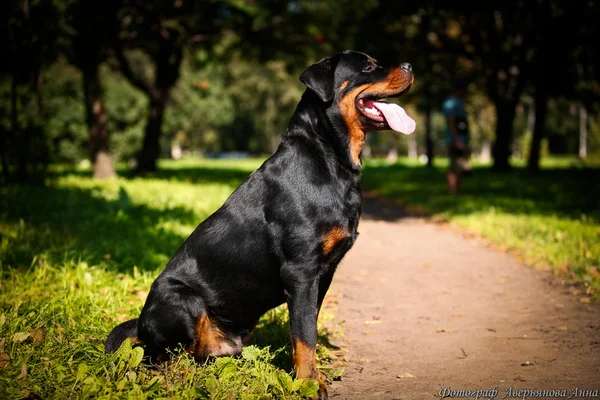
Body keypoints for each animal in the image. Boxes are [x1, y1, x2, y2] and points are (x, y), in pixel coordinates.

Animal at [106, 50, 412, 400]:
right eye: (368, 66)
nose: (409, 65)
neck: (331, 160)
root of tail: (141, 324)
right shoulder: (301, 271)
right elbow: (304, 334)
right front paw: (308, 383)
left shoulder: (324, 273)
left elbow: (306, 327)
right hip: (183, 301)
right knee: (157, 359)